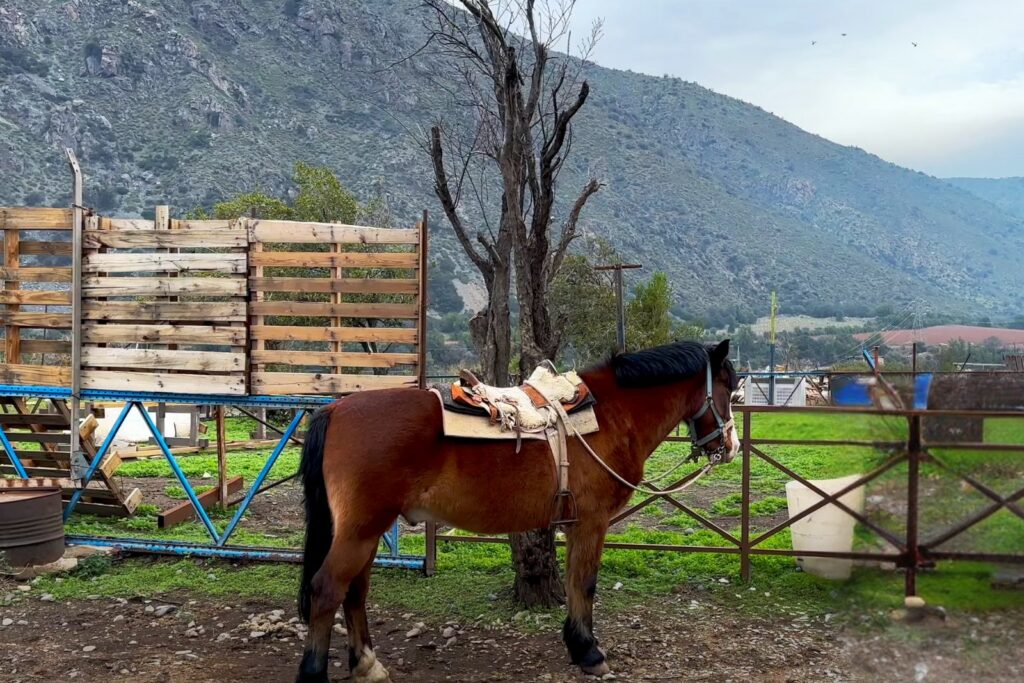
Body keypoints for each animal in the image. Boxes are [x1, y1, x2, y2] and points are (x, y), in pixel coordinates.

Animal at [295, 339, 739, 682]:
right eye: (729, 389)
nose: (731, 446)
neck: (612, 414)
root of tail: (335, 410)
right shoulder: (592, 523)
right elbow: (585, 583)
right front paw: (589, 652)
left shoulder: (575, 524)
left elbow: (575, 583)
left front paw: (576, 645)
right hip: (360, 532)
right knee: (327, 590)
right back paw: (316, 671)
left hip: (368, 531)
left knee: (355, 591)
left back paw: (367, 665)